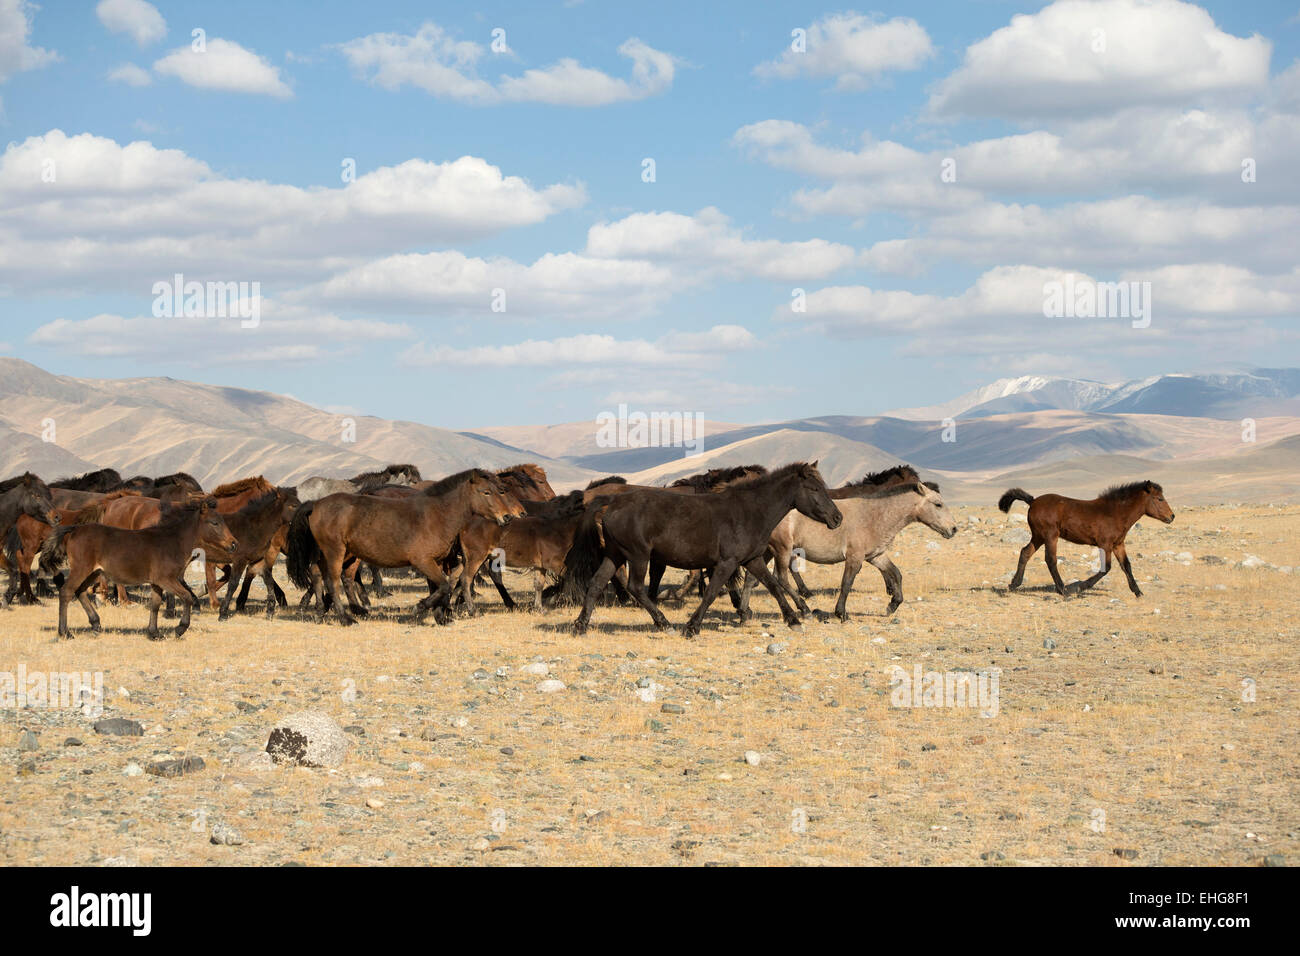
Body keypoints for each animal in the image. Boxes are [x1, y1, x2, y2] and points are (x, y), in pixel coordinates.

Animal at [39, 494, 239, 642]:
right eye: (214, 522)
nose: (233, 544)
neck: (173, 541)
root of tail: (74, 530)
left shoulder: (157, 582)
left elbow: (155, 605)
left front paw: (154, 633)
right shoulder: (166, 579)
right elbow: (187, 597)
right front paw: (179, 629)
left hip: (94, 572)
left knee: (80, 591)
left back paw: (96, 624)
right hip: (81, 569)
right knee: (66, 592)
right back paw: (65, 632)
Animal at [572, 463, 842, 639]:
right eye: (815, 489)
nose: (837, 518)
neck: (749, 512)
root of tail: (610, 503)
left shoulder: (752, 560)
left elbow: (774, 586)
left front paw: (793, 620)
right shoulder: (726, 562)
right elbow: (711, 593)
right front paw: (692, 627)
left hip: (614, 555)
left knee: (596, 584)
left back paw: (580, 626)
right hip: (638, 556)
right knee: (636, 588)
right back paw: (665, 624)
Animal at [993, 481, 1180, 595]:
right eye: (1159, 498)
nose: (1172, 516)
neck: (1115, 512)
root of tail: (1032, 501)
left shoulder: (1118, 544)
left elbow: (1126, 566)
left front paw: (1138, 592)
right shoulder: (1105, 544)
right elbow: (1107, 568)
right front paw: (1081, 586)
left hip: (1038, 536)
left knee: (1025, 552)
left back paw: (1014, 584)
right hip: (1050, 535)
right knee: (1050, 559)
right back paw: (1063, 590)